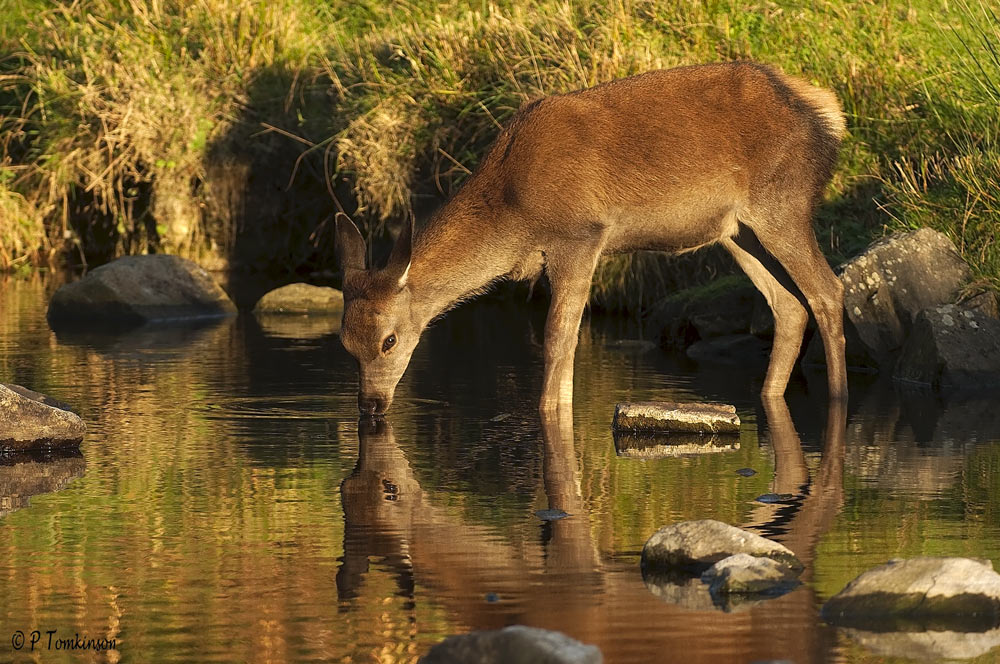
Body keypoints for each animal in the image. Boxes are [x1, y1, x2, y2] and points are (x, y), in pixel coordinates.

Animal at [336, 61, 848, 416]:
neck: (513, 213)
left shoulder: (580, 235)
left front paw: (551, 412)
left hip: (782, 202)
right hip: (737, 231)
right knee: (789, 305)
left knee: (828, 290)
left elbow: (559, 336)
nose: (370, 406)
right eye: (345, 343)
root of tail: (829, 114)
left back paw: (838, 398)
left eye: (389, 340)